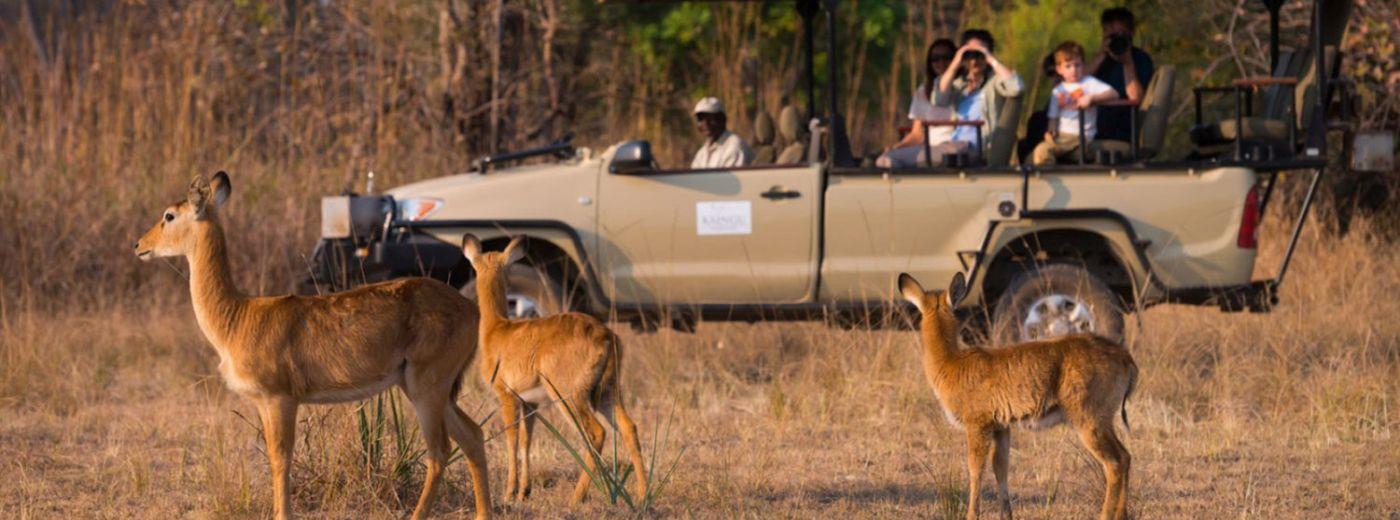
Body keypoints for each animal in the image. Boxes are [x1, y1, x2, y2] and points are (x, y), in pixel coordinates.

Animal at [132, 173, 492, 520]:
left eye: (169, 215)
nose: (139, 245)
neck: (237, 316)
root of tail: (471, 309)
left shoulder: (280, 399)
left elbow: (281, 458)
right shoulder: (264, 403)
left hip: (426, 387)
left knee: (440, 450)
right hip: (429, 389)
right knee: (472, 436)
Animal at [464, 235, 649, 504]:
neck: (497, 330)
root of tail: (606, 335)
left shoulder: (506, 395)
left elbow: (511, 438)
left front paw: (509, 493)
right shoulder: (530, 402)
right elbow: (526, 442)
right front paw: (524, 492)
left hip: (569, 396)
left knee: (596, 433)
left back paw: (576, 498)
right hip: (607, 392)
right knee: (629, 427)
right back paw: (643, 495)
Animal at [896, 273, 1136, 520]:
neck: (951, 362)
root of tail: (1124, 357)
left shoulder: (978, 426)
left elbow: (976, 469)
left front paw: (971, 514)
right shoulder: (1002, 428)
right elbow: (1000, 468)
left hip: (1089, 422)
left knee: (1115, 462)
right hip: (1103, 422)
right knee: (1126, 457)